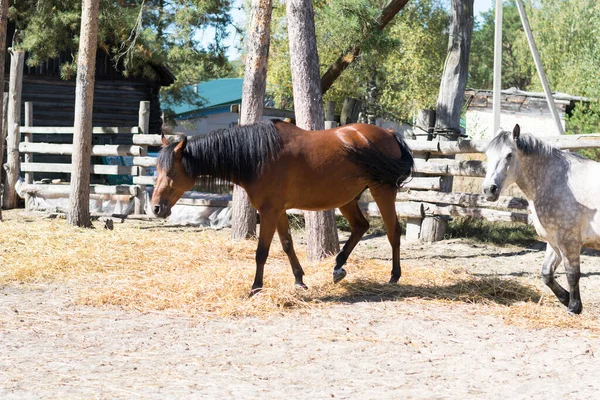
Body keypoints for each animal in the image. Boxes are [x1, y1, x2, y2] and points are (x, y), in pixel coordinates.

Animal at [150, 120, 412, 292]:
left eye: (171, 172)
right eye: (158, 170)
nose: (155, 208)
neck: (259, 156)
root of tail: (389, 133)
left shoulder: (269, 211)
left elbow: (261, 252)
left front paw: (256, 287)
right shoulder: (278, 211)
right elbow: (287, 244)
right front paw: (299, 280)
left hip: (382, 191)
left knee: (393, 232)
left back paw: (394, 276)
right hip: (347, 198)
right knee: (360, 226)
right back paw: (338, 267)